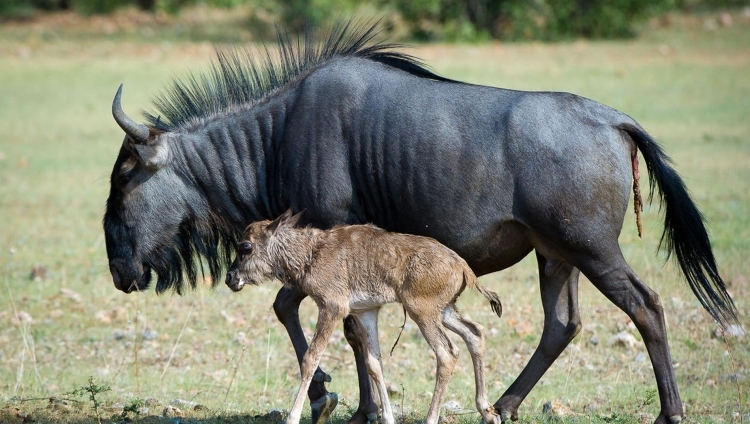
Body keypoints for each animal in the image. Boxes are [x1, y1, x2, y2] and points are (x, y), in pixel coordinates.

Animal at [225, 210, 506, 424]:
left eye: (245, 246)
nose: (230, 278)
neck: (310, 253)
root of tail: (462, 266)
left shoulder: (332, 307)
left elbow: (310, 359)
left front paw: (292, 418)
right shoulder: (366, 311)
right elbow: (374, 363)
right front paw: (388, 418)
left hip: (422, 311)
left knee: (447, 353)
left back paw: (432, 418)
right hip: (444, 310)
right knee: (475, 333)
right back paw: (488, 411)